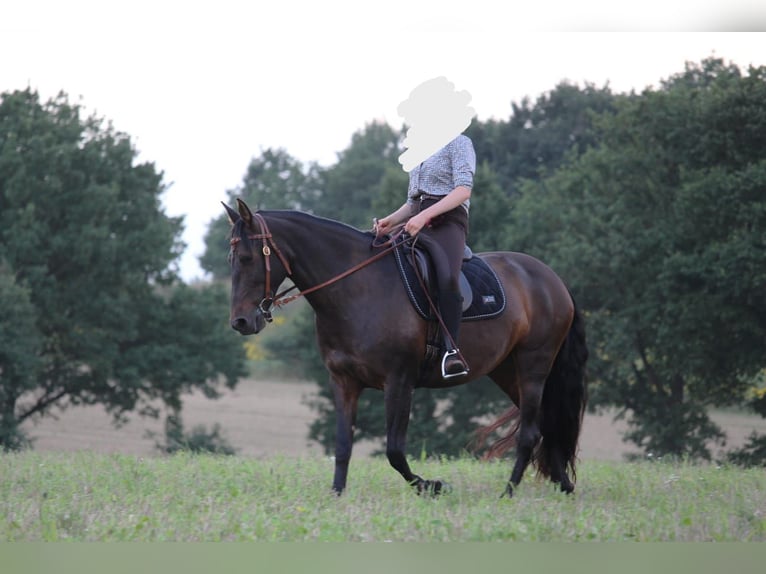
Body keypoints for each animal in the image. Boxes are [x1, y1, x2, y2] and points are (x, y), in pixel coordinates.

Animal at [223, 199, 588, 497]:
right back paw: (564, 486)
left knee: (529, 432)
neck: (357, 289)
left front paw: (434, 486)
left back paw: (508, 493)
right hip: (506, 370)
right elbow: (343, 444)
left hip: (533, 365)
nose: (241, 321)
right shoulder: (343, 381)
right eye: (231, 259)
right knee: (544, 425)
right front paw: (336, 496)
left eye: (247, 257)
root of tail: (551, 278)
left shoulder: (399, 381)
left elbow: (395, 451)